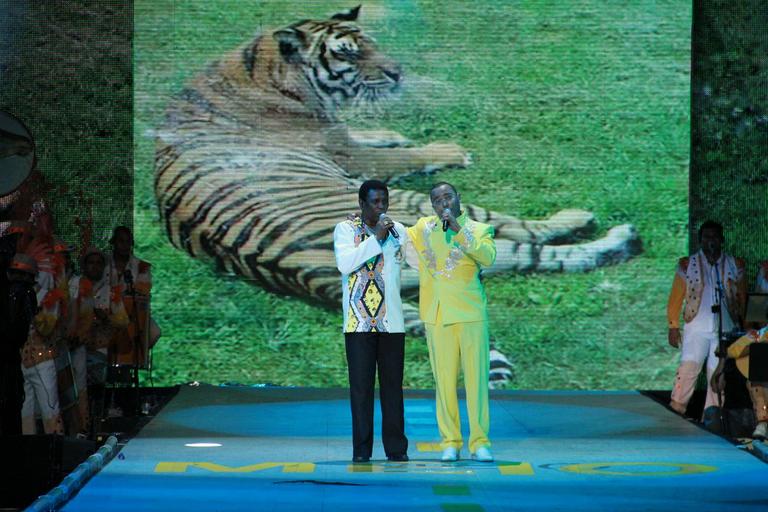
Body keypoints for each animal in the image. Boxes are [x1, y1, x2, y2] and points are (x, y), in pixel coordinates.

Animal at [154, 7, 640, 384]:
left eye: (371, 43)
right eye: (348, 54)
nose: (397, 72)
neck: (262, 66)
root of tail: (286, 261)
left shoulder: (344, 136)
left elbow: (376, 136)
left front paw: (390, 131)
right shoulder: (347, 150)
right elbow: (407, 153)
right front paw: (449, 150)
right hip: (423, 209)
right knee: (524, 239)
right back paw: (597, 227)